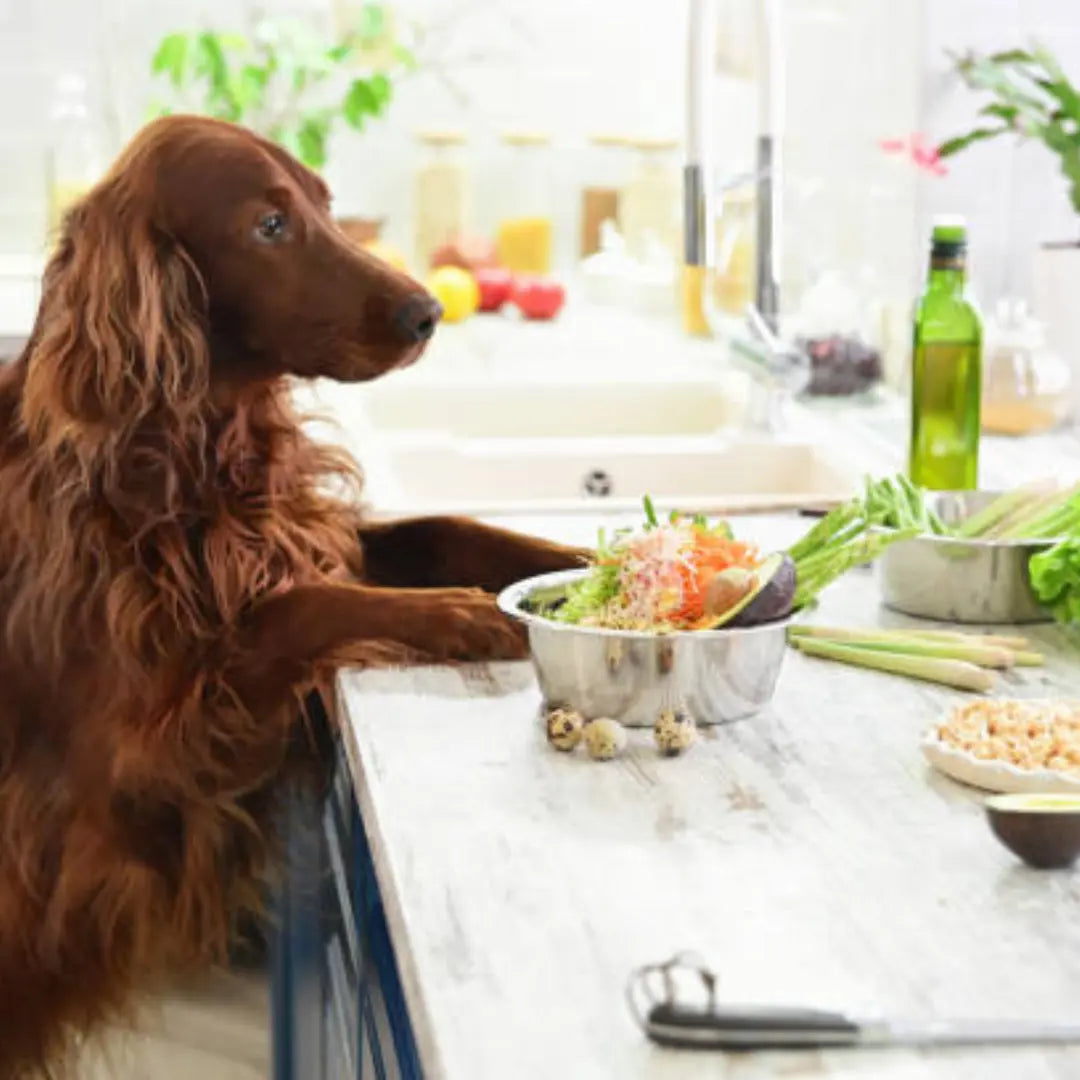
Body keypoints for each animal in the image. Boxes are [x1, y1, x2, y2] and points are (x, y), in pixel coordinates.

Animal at [0, 113, 587, 1075]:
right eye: (268, 226)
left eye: (322, 202)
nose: (426, 313)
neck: (177, 451)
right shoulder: (136, 764)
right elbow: (291, 608)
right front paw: (454, 614)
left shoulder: (304, 536)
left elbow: (444, 528)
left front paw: (588, 560)